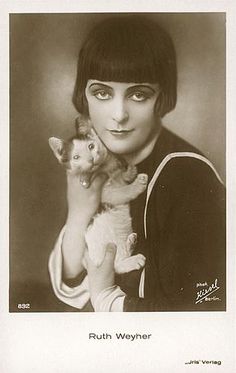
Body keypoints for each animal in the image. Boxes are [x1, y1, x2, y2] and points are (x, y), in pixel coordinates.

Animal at [48, 116, 148, 274]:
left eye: (91, 146)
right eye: (76, 157)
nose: (90, 159)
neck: (106, 169)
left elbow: (122, 176)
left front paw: (130, 171)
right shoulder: (106, 194)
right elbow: (122, 192)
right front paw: (137, 184)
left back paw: (131, 242)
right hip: (106, 242)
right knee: (116, 266)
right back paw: (133, 259)